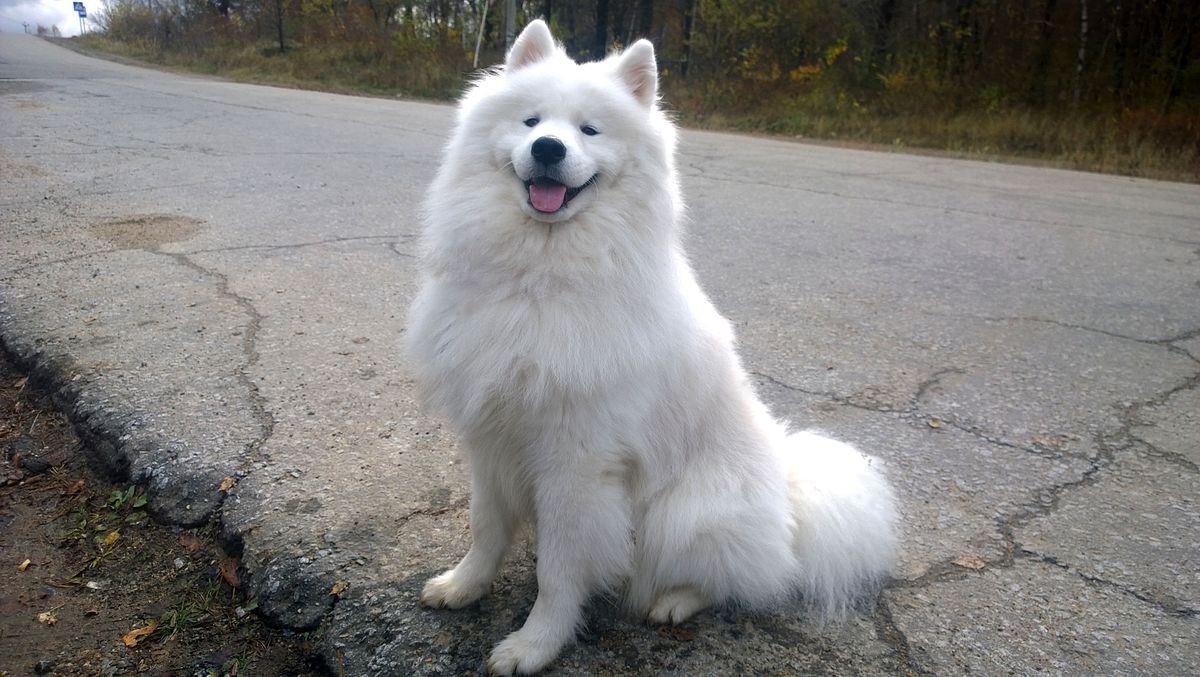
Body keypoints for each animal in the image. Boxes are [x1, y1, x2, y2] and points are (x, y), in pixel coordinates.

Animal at [408, 18, 897, 672]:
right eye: (532, 122)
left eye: (589, 130)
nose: (548, 149)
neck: (540, 273)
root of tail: (790, 501)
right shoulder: (489, 434)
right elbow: (485, 526)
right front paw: (465, 586)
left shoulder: (576, 461)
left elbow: (559, 572)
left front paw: (535, 645)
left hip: (685, 513)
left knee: (738, 579)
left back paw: (674, 601)